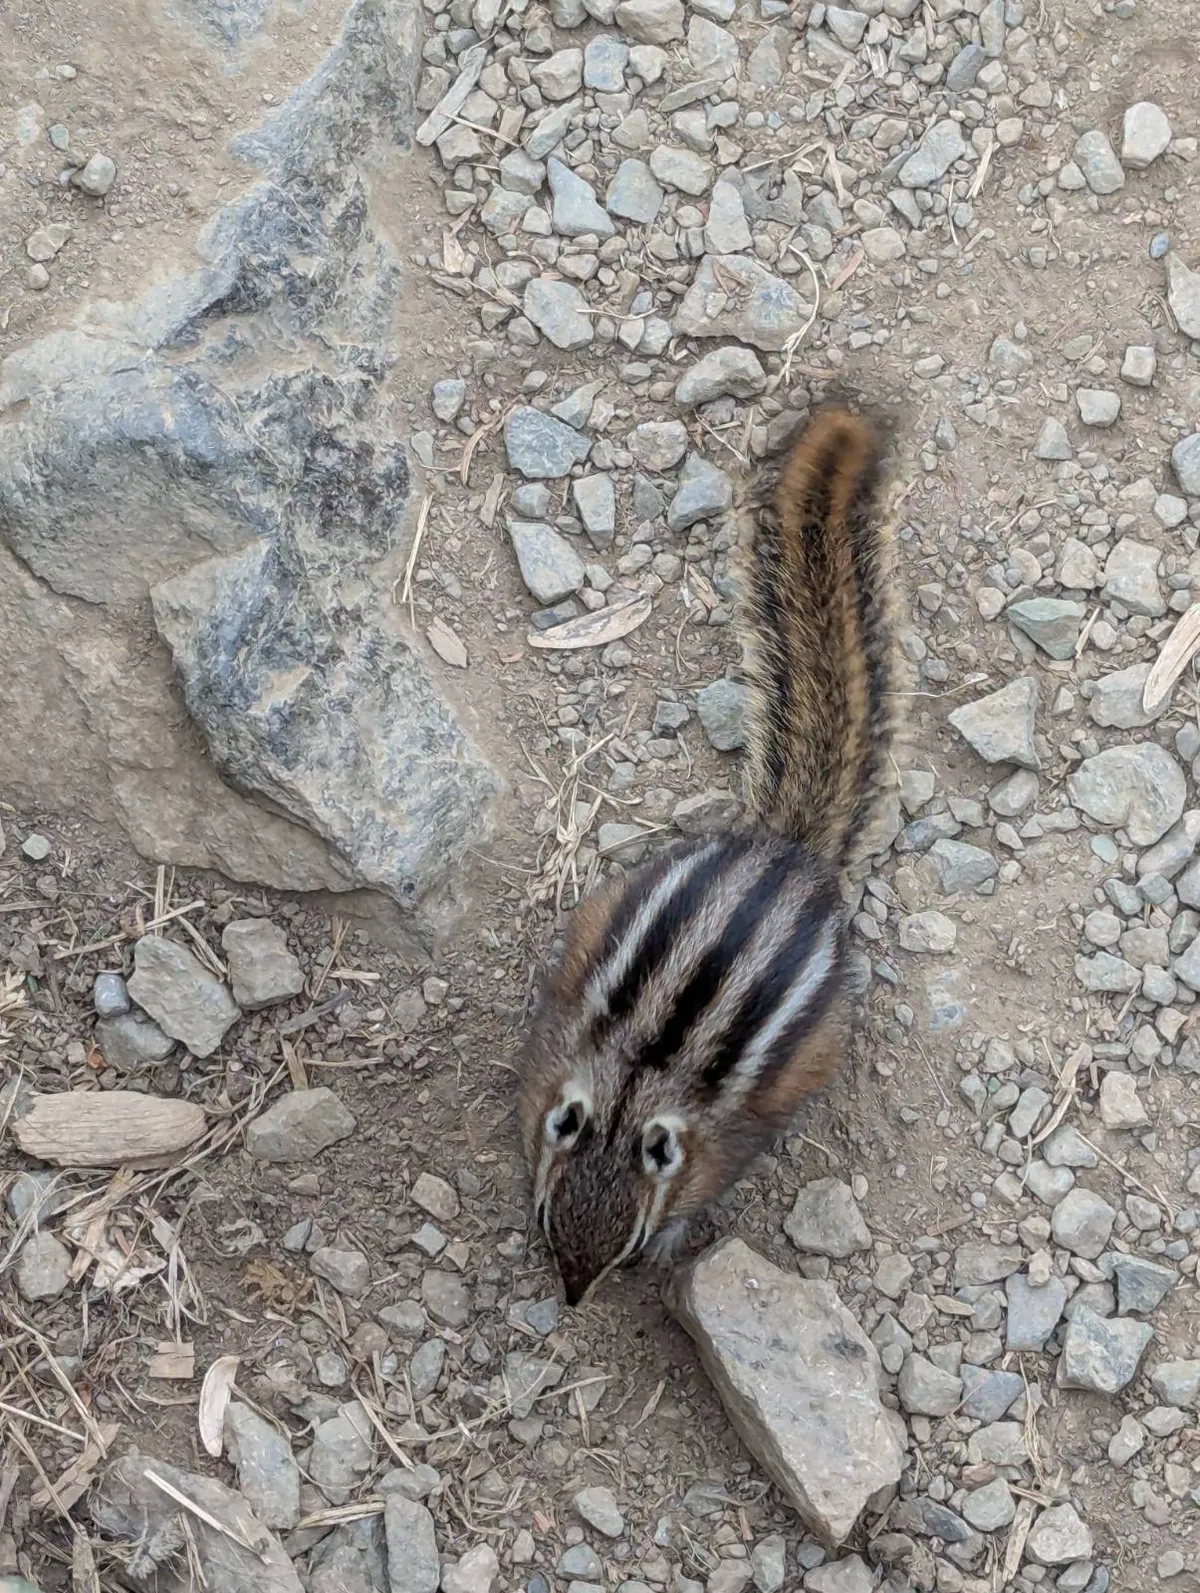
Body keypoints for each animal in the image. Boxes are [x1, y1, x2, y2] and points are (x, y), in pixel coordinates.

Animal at [518, 405, 894, 1307]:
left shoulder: (721, 1144)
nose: (572, 1298)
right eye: (548, 1220)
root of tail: (790, 851)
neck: (631, 1089)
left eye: (625, 1245)